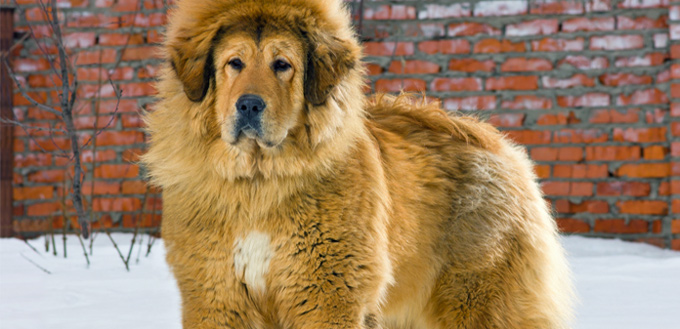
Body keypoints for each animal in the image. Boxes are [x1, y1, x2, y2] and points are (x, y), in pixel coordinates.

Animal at [145, 0, 572, 326]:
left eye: (282, 65)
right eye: (234, 63)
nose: (249, 104)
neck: (259, 182)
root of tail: (495, 142)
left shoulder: (326, 294)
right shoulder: (217, 294)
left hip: (476, 299)